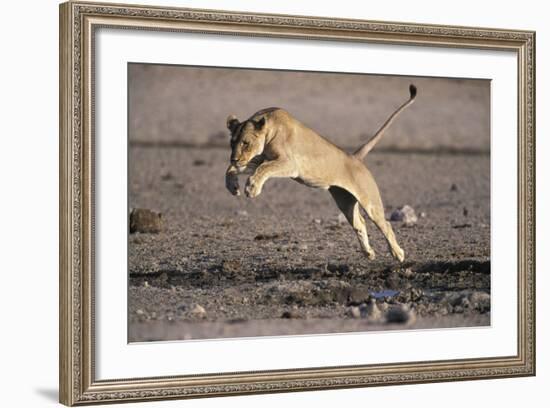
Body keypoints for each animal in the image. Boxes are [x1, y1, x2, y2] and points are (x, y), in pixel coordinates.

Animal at [224, 84, 418, 262]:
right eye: (232, 143)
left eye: (246, 143)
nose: (234, 158)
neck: (270, 129)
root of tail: (355, 157)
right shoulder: (258, 159)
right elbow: (233, 170)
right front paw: (233, 187)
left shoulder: (289, 163)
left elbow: (263, 169)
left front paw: (251, 188)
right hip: (345, 201)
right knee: (360, 223)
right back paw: (369, 253)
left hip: (370, 202)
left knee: (385, 225)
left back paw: (398, 254)